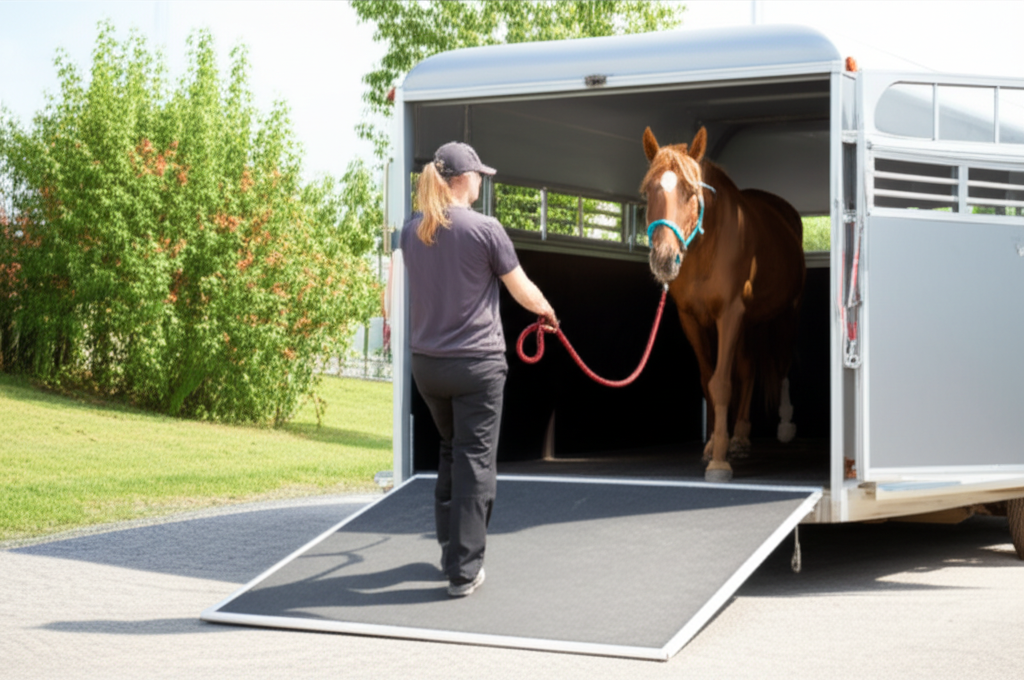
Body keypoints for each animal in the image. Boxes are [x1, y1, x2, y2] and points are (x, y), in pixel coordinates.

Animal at [641, 126, 805, 482]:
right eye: (648, 191)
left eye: (691, 191)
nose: (664, 258)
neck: (708, 249)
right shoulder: (692, 318)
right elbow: (709, 380)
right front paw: (714, 446)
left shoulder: (729, 314)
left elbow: (721, 383)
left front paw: (719, 462)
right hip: (749, 321)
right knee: (749, 367)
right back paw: (740, 437)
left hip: (786, 313)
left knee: (782, 362)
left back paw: (784, 425)